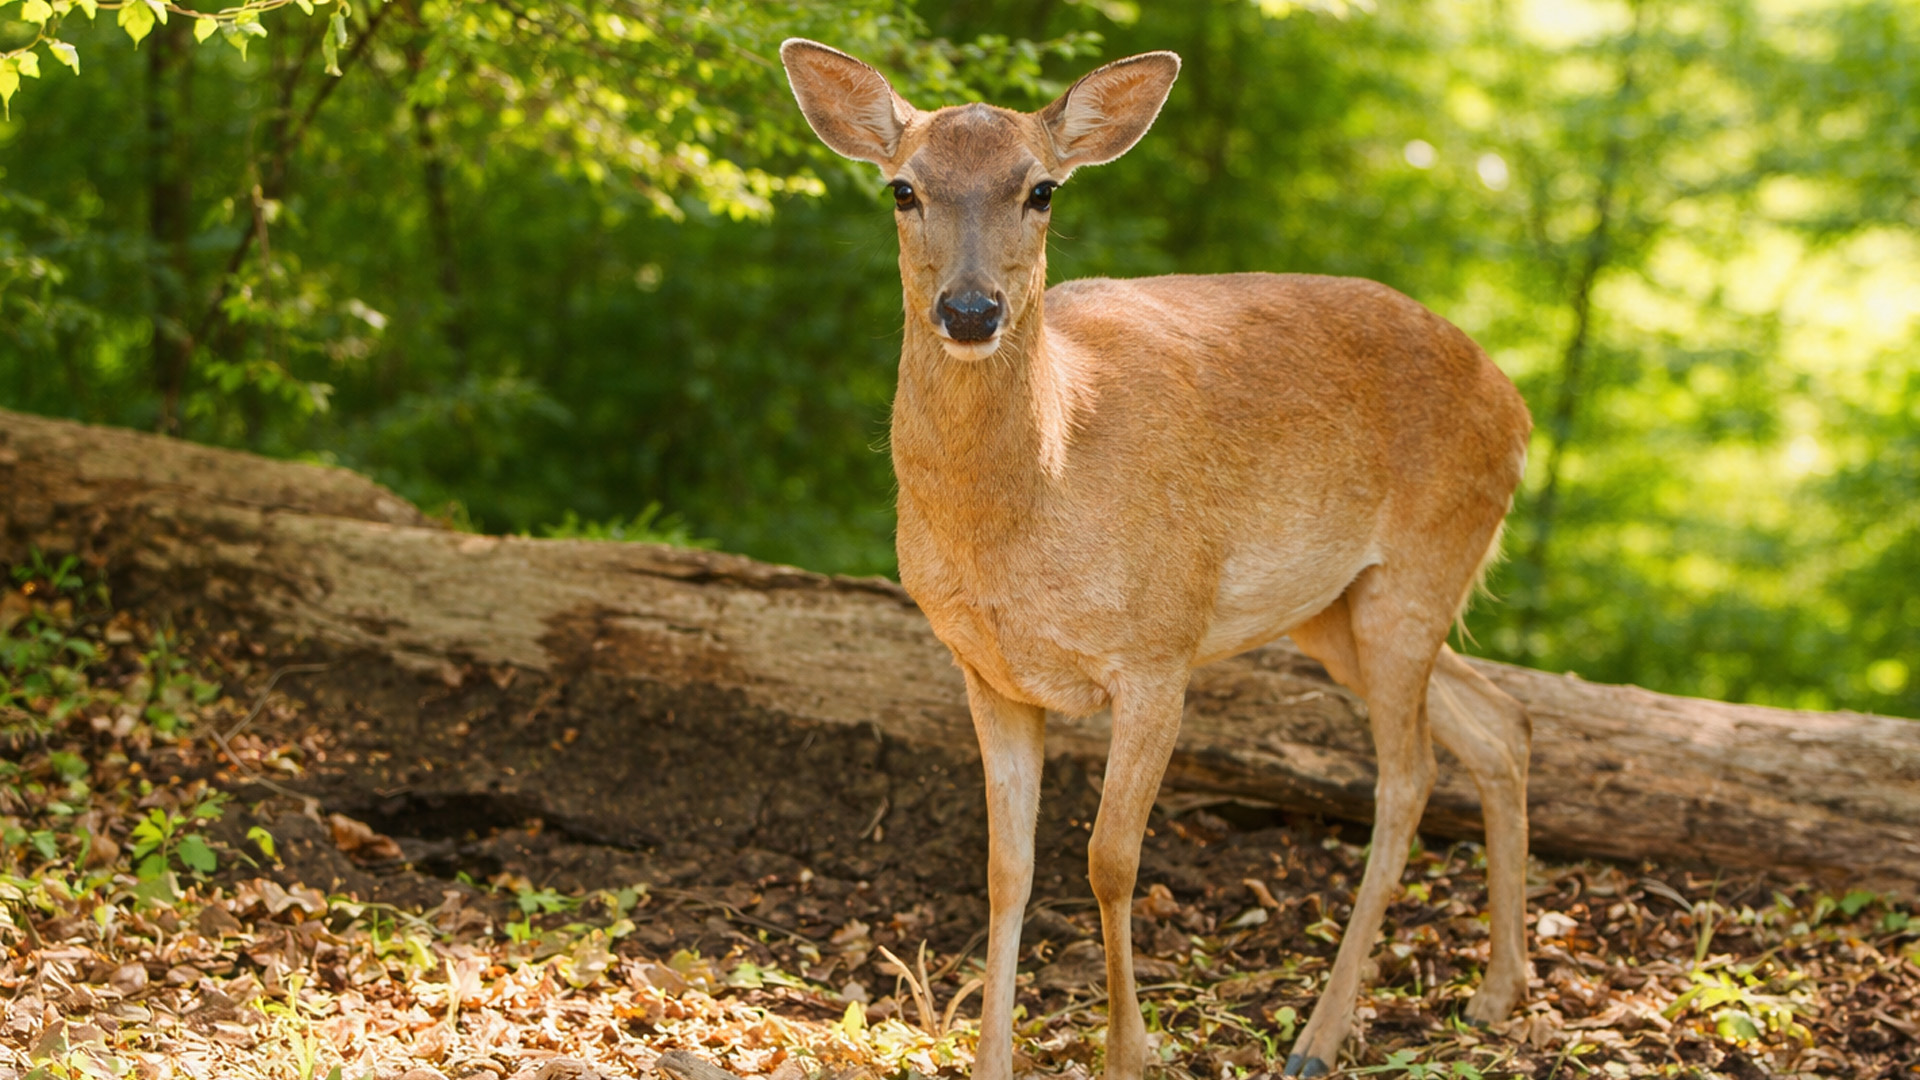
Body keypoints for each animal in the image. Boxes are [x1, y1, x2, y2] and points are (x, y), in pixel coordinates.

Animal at [780, 40, 1535, 1080]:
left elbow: (1111, 859)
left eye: (1041, 189)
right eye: (903, 188)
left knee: (1410, 775)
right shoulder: (984, 667)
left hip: (1423, 563)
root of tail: (1519, 409)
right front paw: (993, 1058)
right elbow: (1005, 867)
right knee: (1500, 722)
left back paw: (1320, 1036)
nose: (969, 310)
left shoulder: (1158, 647)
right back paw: (1499, 992)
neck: (1035, 501)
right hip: (1336, 607)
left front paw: (1130, 1050)